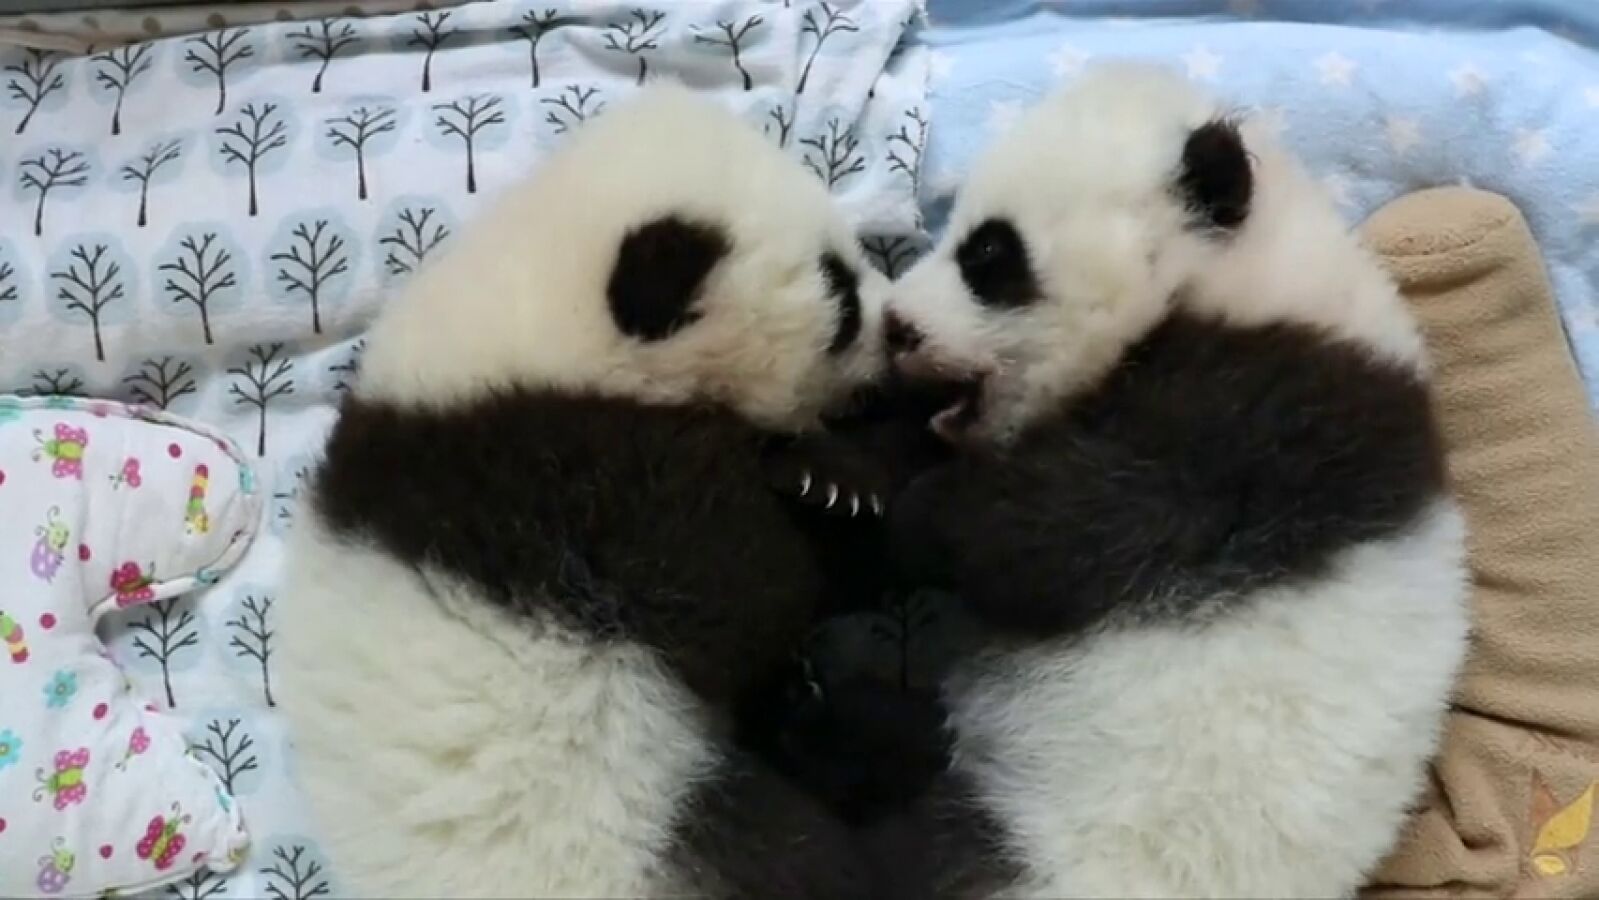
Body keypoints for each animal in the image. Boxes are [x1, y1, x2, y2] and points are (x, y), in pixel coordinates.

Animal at [275, 86, 903, 899]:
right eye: (839, 290)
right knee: (799, 861)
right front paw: (831, 483)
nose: (900, 324)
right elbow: (749, 592)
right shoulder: (574, 477)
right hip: (628, 823)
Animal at [836, 64, 1472, 898]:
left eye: (989, 254)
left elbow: (1066, 532)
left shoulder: (1244, 425)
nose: (897, 327)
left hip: (1059, 835)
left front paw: (903, 512)